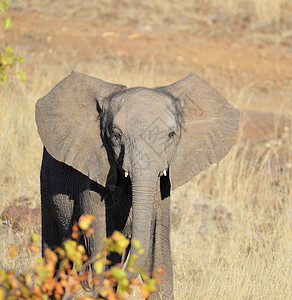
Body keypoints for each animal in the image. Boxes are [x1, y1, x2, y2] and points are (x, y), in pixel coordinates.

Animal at [34, 71, 240, 298]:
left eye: (171, 135)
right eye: (116, 135)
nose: (85, 283)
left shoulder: (161, 186)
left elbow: (158, 249)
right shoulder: (91, 174)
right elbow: (99, 242)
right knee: (53, 253)